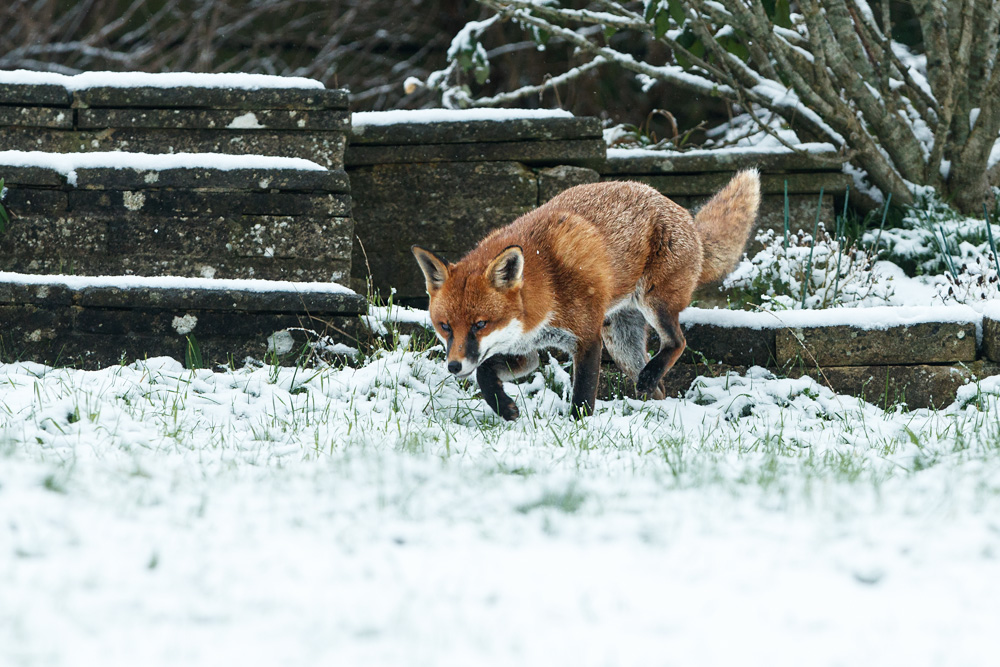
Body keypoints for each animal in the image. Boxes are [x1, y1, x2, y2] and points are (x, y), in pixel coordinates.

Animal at [411, 170, 760, 420]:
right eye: (445, 326)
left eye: (480, 324)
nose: (453, 366)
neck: (546, 287)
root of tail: (685, 214)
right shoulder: (526, 352)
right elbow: (485, 371)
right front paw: (503, 407)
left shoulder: (586, 339)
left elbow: (582, 397)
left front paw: (578, 431)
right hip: (622, 344)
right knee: (660, 387)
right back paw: (653, 411)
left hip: (653, 304)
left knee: (678, 342)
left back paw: (653, 379)